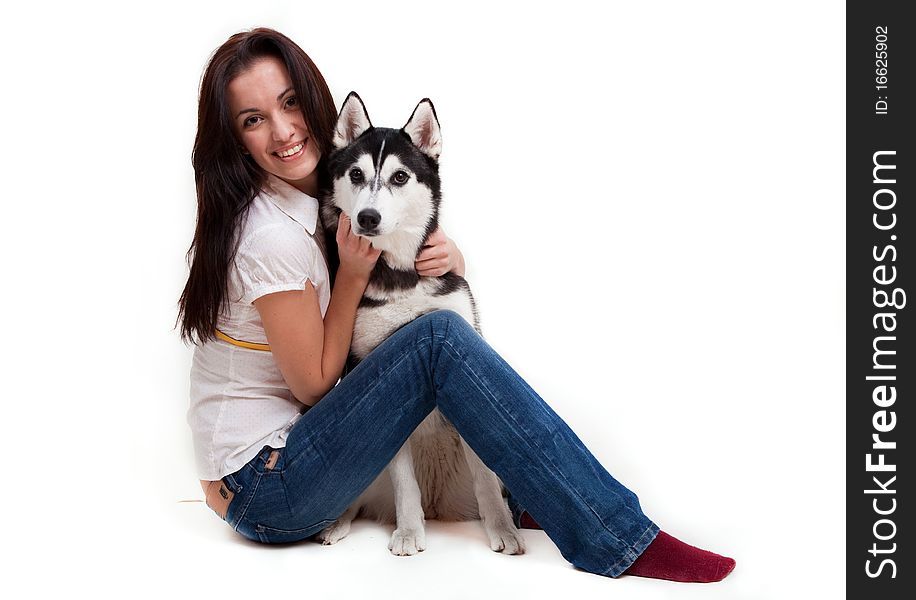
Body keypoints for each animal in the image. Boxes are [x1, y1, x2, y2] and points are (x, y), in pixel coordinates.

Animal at [314, 94, 524, 556]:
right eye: (356, 174)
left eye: (399, 176)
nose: (368, 218)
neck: (402, 274)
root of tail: (440, 502)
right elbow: (404, 483)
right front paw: (410, 531)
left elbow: (485, 476)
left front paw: (501, 528)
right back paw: (336, 521)